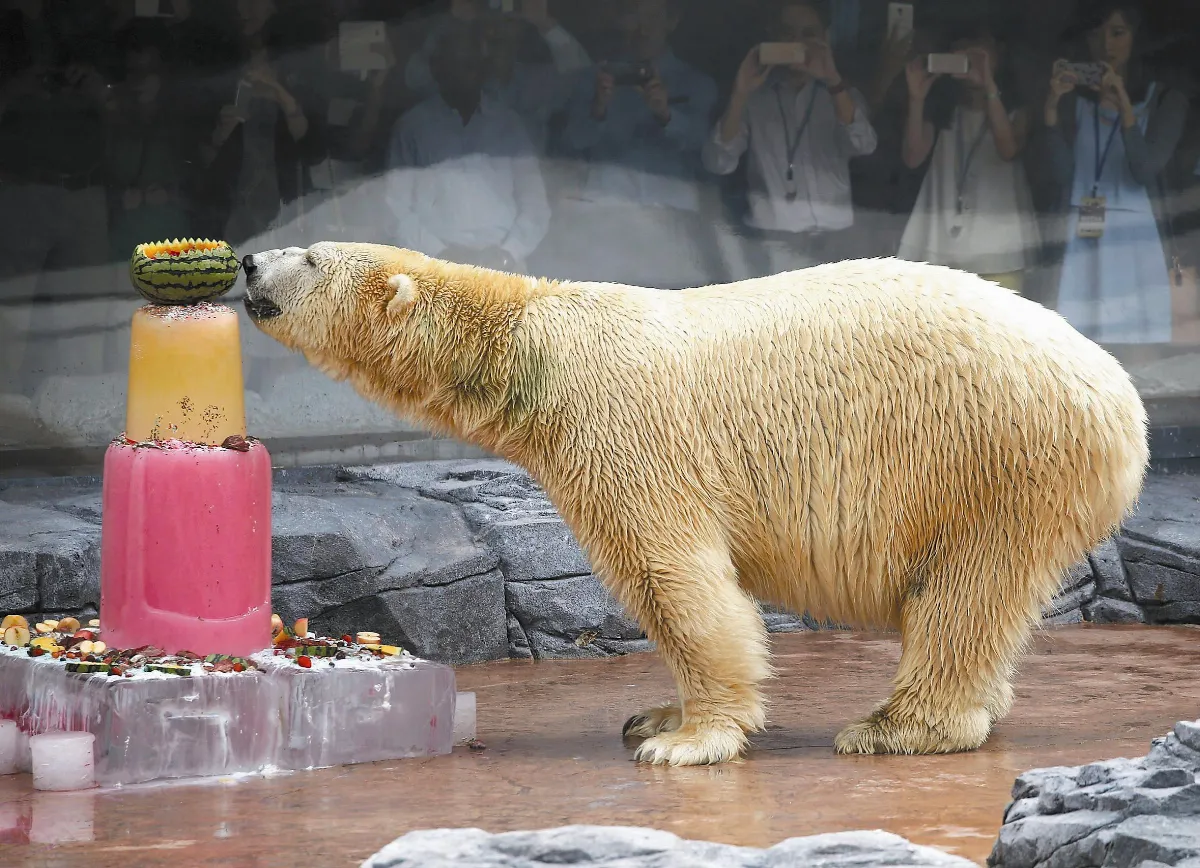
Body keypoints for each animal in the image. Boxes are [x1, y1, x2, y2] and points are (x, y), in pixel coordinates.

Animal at [242, 242, 1148, 767]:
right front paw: (653, 715)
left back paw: (894, 727)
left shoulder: (619, 432)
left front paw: (686, 740)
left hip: (990, 459)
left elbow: (674, 578)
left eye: (312, 257)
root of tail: (1121, 399)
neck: (532, 340)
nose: (248, 261)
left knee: (961, 594)